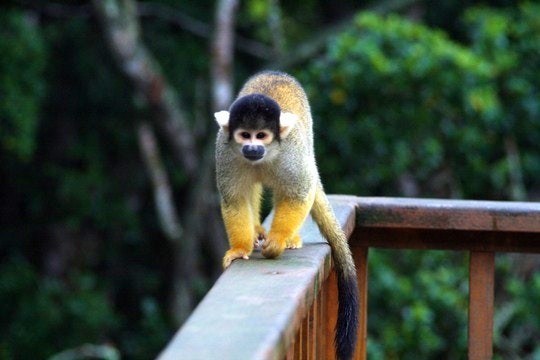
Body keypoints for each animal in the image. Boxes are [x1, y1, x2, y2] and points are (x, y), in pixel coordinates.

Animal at [214, 70, 358, 360]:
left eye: (261, 135)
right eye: (245, 135)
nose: (252, 149)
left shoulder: (291, 152)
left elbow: (299, 193)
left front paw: (278, 240)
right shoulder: (224, 150)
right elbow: (235, 199)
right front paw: (241, 248)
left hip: (305, 143)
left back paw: (290, 237)